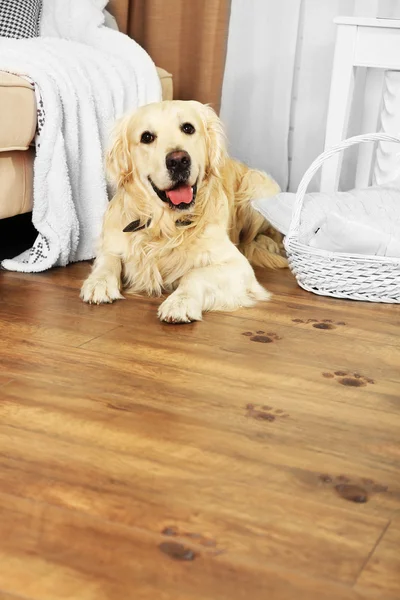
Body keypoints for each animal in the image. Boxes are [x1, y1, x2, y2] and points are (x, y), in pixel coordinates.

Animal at [79, 99, 286, 324]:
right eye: (146, 137)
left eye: (188, 128)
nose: (178, 160)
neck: (165, 225)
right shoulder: (112, 241)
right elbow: (108, 260)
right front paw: (98, 282)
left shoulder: (238, 266)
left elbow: (195, 274)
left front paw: (180, 302)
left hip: (256, 183)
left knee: (256, 238)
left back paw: (268, 243)